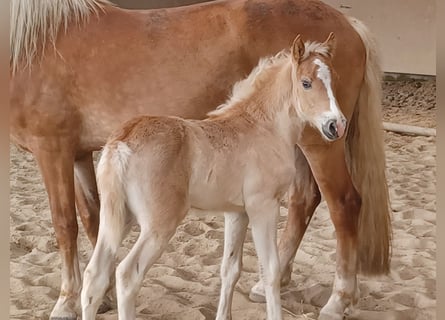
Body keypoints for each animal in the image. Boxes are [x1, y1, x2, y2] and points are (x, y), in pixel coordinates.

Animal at [10, 0, 390, 320]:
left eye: (331, 81)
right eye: (307, 83)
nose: (336, 123)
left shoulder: (54, 149)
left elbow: (65, 224)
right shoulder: (74, 153)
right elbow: (84, 220)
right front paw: (85, 302)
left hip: (317, 147)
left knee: (343, 203)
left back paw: (337, 301)